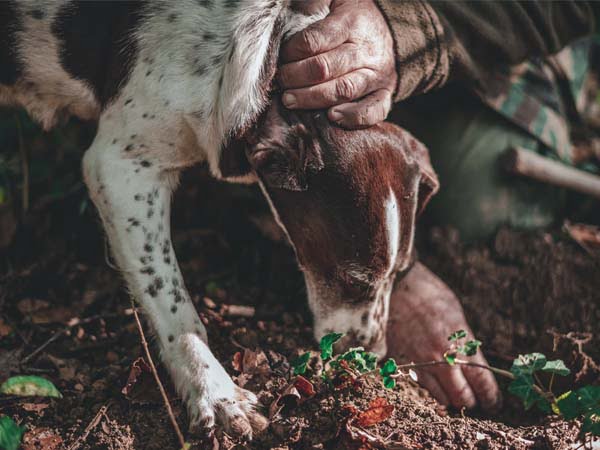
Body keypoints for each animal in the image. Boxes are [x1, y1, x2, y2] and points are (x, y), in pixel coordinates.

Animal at [1, 0, 440, 440]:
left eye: (402, 274)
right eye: (353, 282)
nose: (372, 356)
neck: (265, 54)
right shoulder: (120, 167)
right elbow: (172, 301)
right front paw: (214, 390)